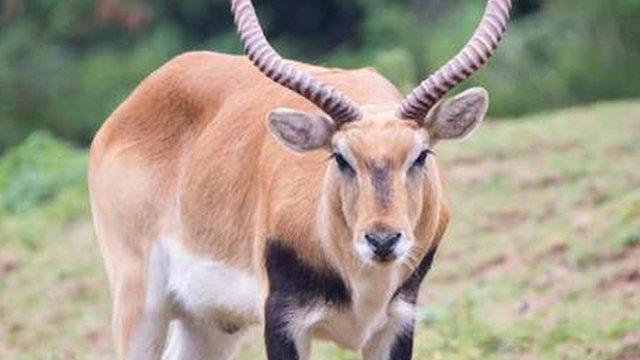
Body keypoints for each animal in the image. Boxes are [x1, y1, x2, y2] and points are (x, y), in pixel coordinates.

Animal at [89, 1, 510, 358]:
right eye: (340, 157)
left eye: (421, 155)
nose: (382, 240)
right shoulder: (283, 320)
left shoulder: (397, 321)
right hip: (141, 305)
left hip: (211, 323)